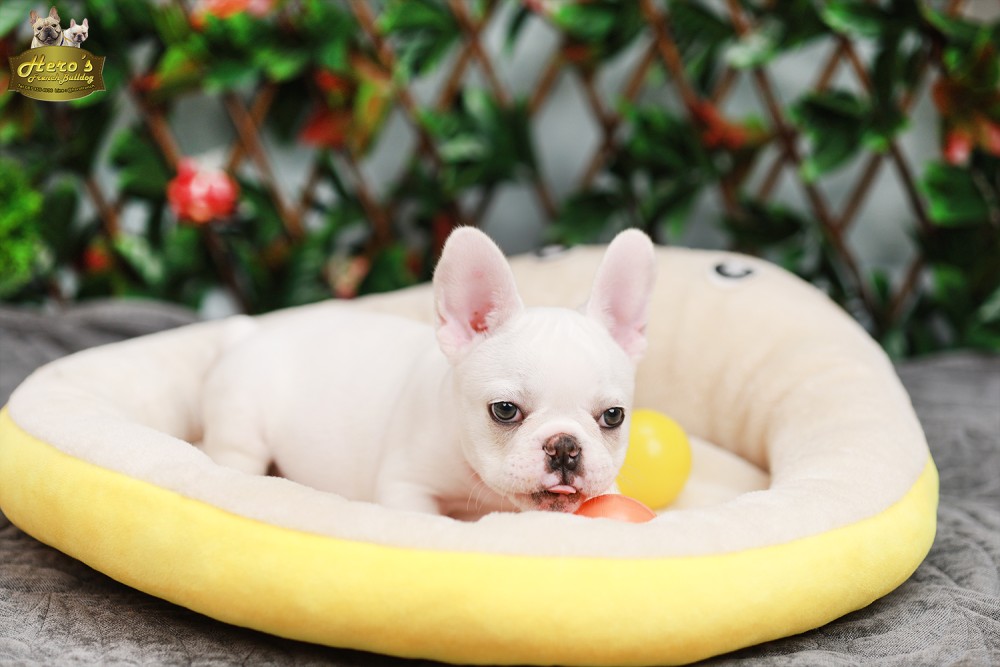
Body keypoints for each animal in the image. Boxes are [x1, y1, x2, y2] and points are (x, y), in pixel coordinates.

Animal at [201, 227, 656, 518]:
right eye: (504, 410)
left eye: (613, 416)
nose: (564, 447)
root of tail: (250, 333)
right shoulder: (406, 486)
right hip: (241, 432)